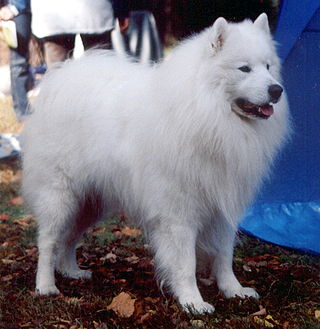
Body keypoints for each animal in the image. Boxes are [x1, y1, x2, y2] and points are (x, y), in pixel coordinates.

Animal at [21, 13, 288, 312]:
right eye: (244, 69)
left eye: (268, 66)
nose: (276, 90)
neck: (207, 114)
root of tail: (63, 77)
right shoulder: (178, 213)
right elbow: (185, 264)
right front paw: (193, 302)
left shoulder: (222, 210)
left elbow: (224, 256)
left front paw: (234, 290)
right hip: (60, 196)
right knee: (48, 241)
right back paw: (46, 286)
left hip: (89, 202)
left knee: (69, 238)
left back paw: (71, 271)